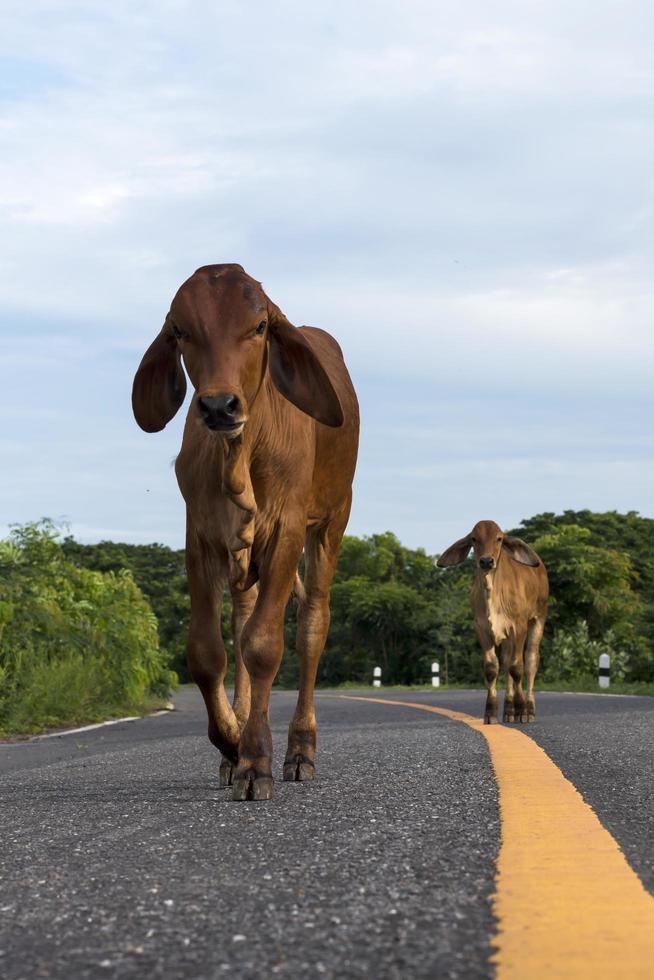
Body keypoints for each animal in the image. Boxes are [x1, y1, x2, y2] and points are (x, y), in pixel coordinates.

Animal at [132, 264, 358, 800]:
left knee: (313, 626)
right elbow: (207, 653)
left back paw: (300, 751)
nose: (218, 407)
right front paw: (232, 746)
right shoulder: (199, 537)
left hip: (333, 521)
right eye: (181, 330)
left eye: (259, 327)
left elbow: (264, 645)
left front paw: (256, 760)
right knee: (238, 624)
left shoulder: (286, 531)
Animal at [440, 520, 548, 720]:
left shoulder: (519, 625)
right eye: (474, 539)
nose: (486, 561)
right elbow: (492, 668)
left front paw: (521, 708)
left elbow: (517, 667)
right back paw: (509, 710)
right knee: (506, 662)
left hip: (538, 618)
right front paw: (491, 712)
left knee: (530, 660)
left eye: (499, 538)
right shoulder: (481, 628)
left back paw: (528, 708)